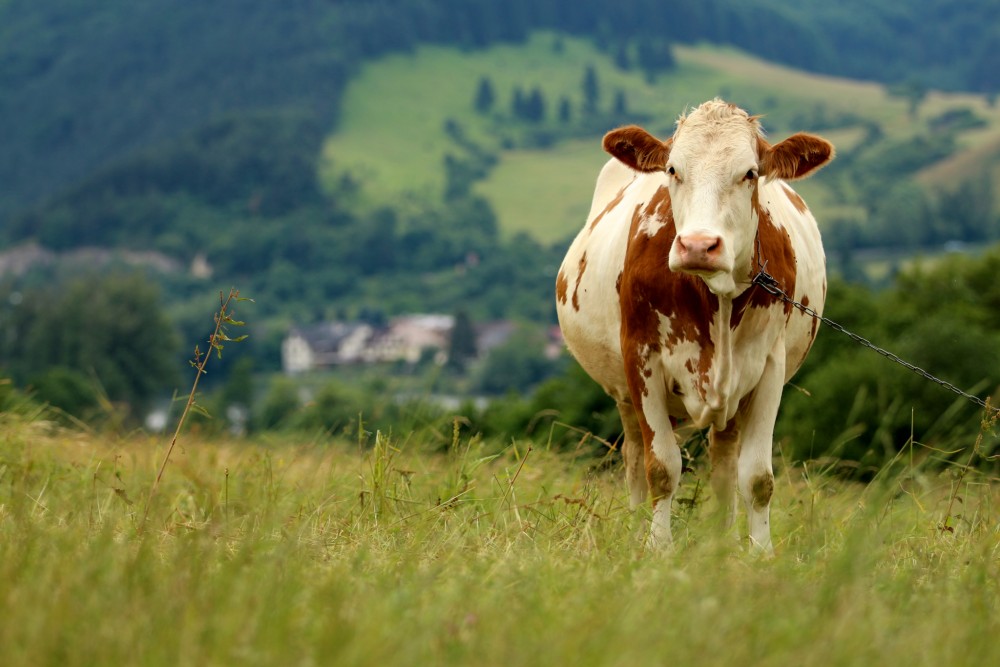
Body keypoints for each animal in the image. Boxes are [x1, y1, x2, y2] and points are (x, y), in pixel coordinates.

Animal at [560, 99, 832, 552]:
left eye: (750, 173)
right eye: (673, 170)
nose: (699, 246)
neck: (716, 298)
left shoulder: (770, 367)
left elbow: (757, 478)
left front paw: (760, 553)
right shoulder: (642, 360)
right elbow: (661, 469)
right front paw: (657, 548)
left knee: (724, 466)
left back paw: (721, 543)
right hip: (623, 394)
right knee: (635, 459)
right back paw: (636, 529)